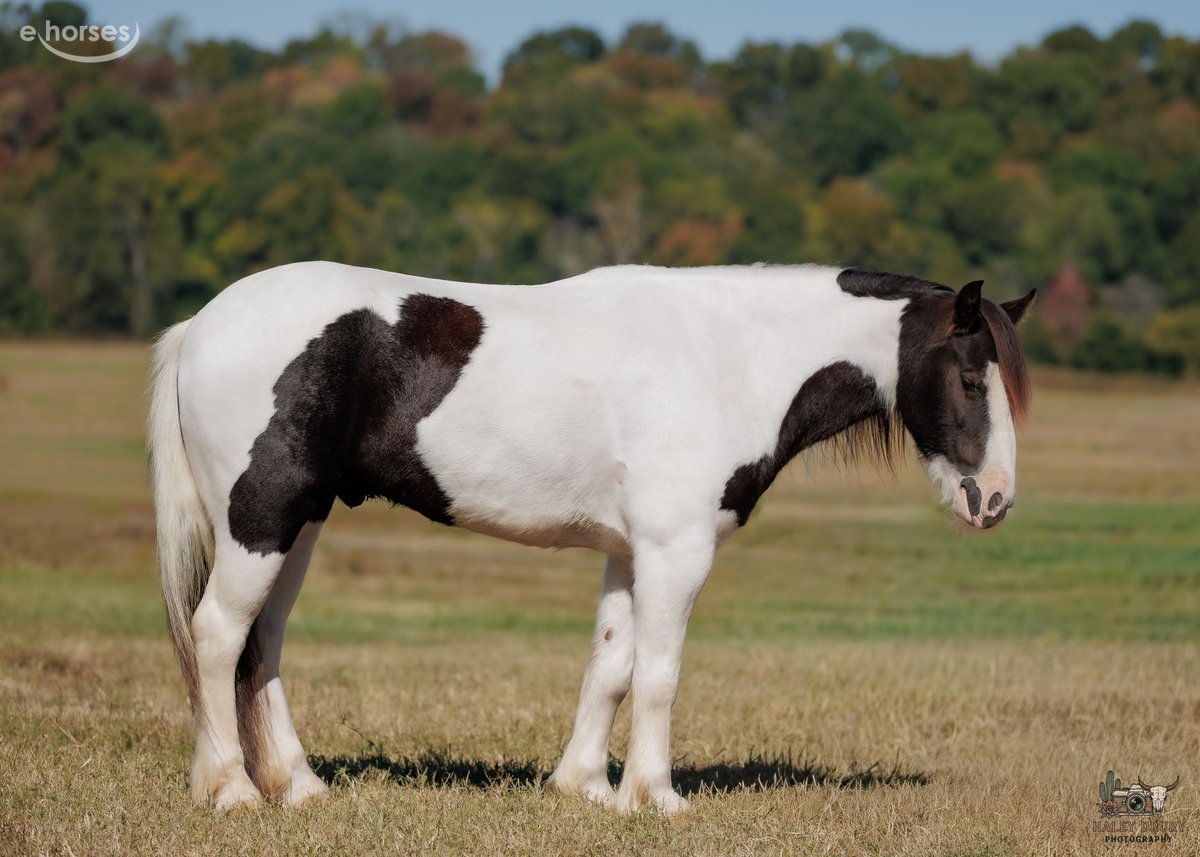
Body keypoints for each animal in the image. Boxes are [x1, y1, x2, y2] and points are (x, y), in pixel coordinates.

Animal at [148, 262, 1034, 814]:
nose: (993, 500)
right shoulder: (676, 551)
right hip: (262, 520)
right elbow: (659, 673)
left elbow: (609, 665)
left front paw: (585, 787)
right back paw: (231, 789)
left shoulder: (628, 552)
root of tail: (200, 325)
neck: (726, 357)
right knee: (218, 634)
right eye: (969, 376)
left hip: (296, 526)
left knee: (261, 645)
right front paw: (656, 795)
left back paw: (297, 786)